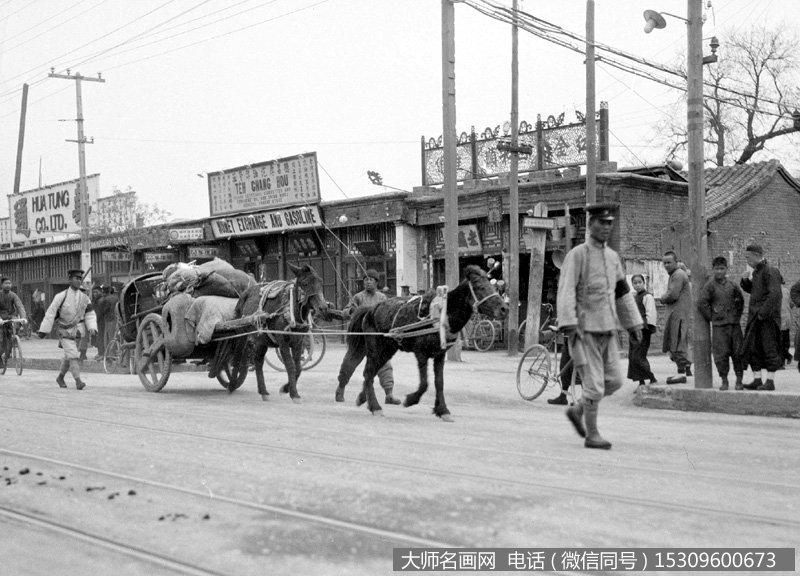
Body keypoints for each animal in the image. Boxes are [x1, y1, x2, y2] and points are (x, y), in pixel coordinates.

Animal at [230, 264, 330, 402]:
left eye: (320, 281)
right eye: (305, 283)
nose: (323, 308)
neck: (291, 311)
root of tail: (244, 294)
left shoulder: (298, 341)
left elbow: (298, 367)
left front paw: (286, 388)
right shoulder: (283, 342)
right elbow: (290, 366)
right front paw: (294, 394)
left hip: (261, 340)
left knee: (258, 361)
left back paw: (263, 391)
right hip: (242, 335)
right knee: (237, 357)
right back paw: (232, 383)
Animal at [340, 264, 510, 418]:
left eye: (492, 286)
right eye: (480, 287)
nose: (504, 309)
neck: (442, 314)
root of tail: (370, 309)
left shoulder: (440, 354)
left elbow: (439, 382)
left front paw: (442, 410)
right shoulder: (421, 353)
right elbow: (424, 383)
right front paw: (411, 400)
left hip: (387, 350)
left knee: (371, 373)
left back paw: (364, 399)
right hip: (375, 349)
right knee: (368, 373)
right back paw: (375, 406)